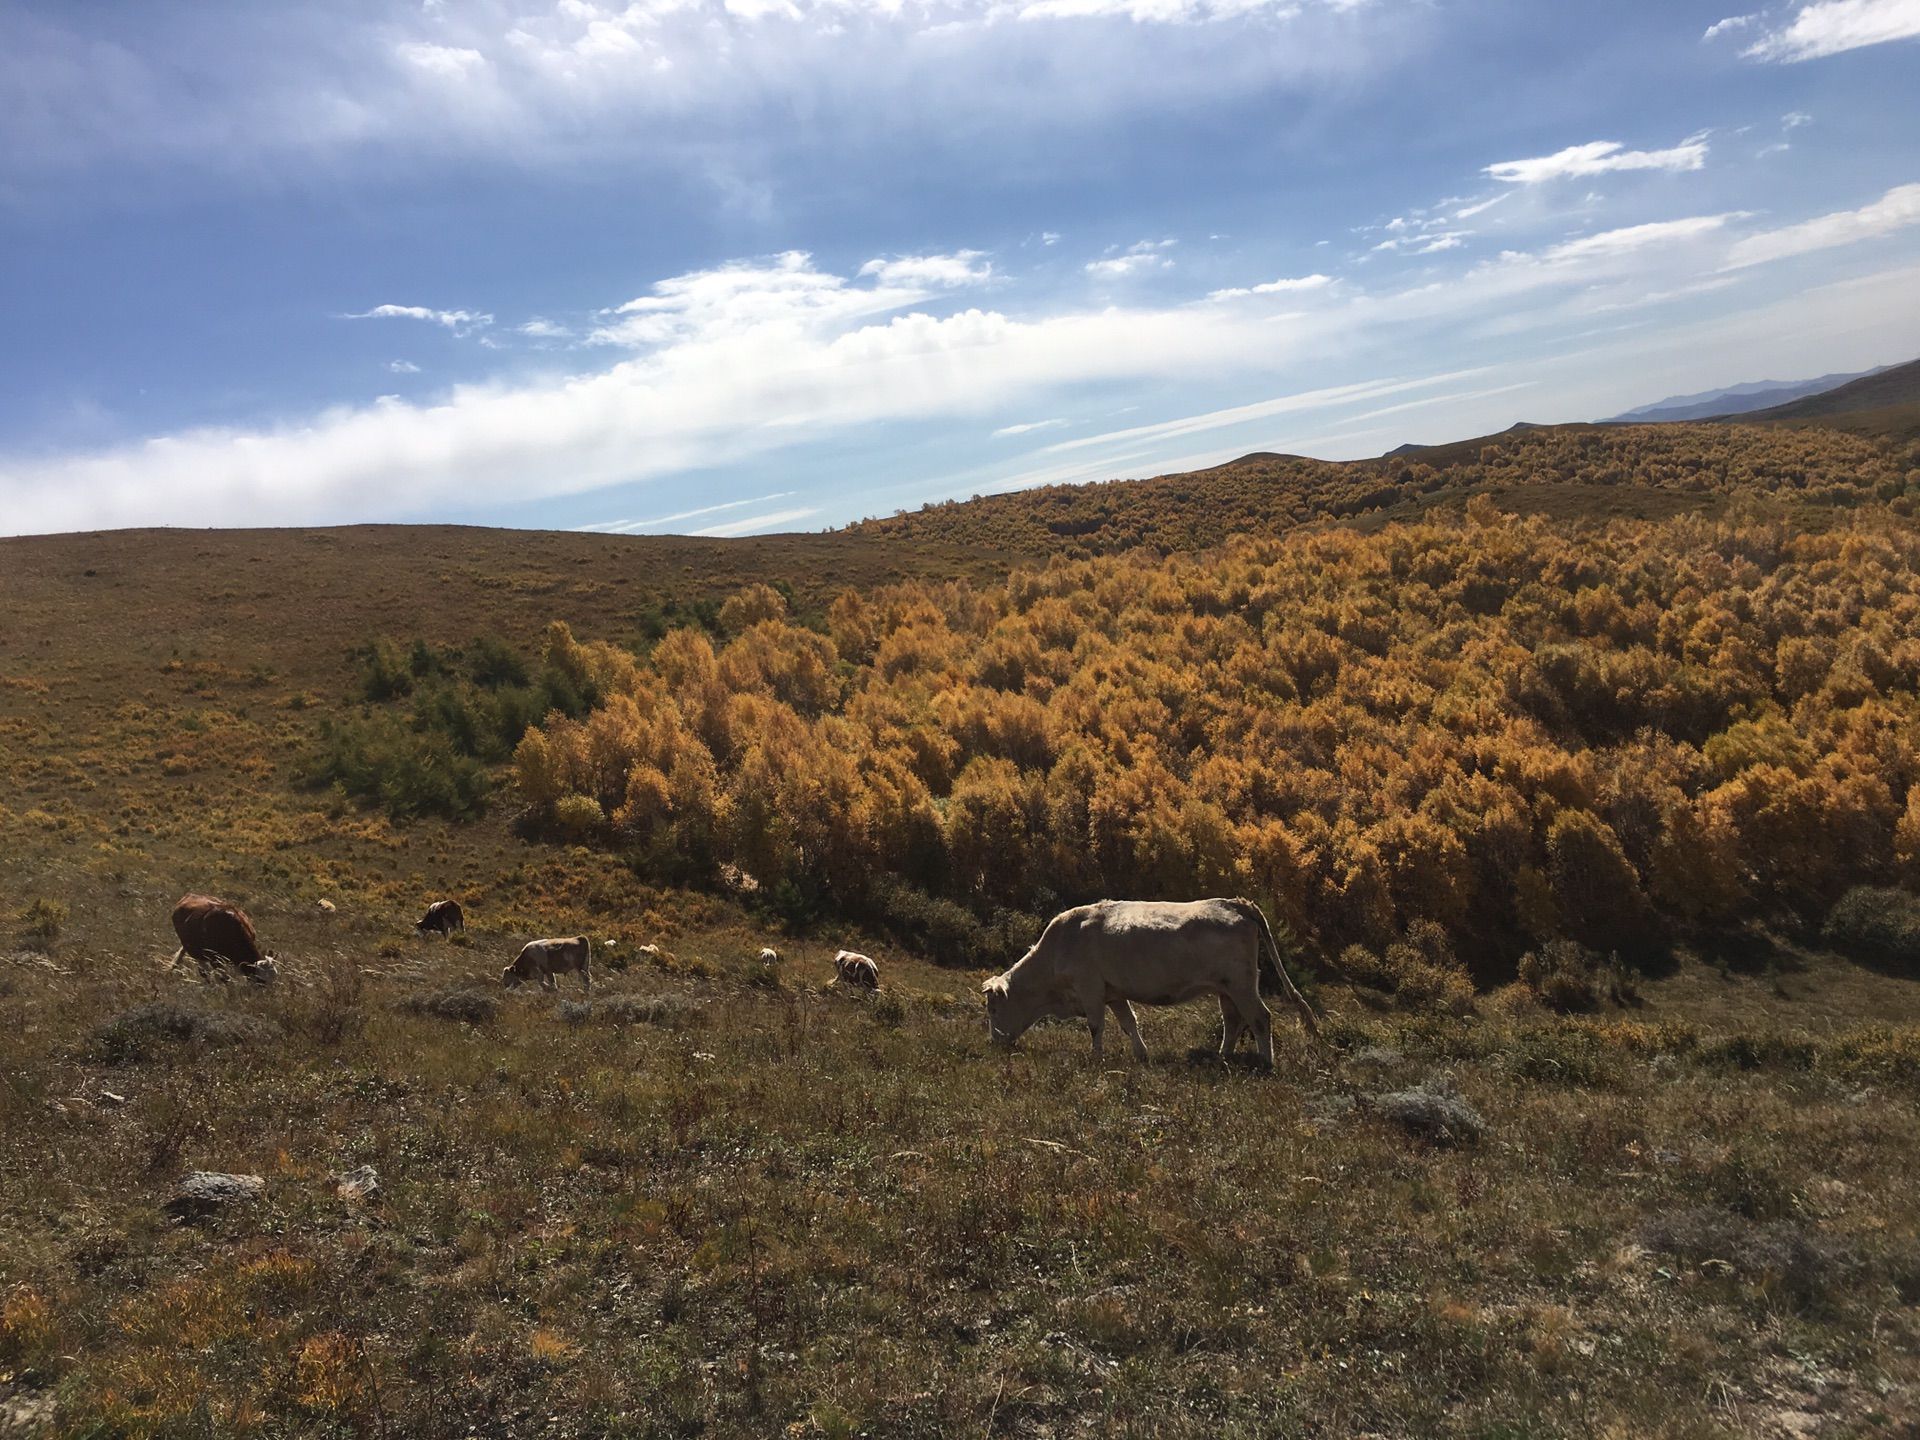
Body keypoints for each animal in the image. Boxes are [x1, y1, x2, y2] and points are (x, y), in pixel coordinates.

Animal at [975, 902, 1320, 1075]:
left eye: (993, 1008)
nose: (994, 1042)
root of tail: (1236, 903)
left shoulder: (1090, 989)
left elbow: (1095, 1026)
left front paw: (1096, 1058)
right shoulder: (1113, 993)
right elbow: (1129, 1023)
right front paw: (1141, 1055)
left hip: (1242, 984)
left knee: (1260, 1018)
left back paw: (1266, 1062)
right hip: (1226, 988)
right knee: (1233, 1021)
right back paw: (1222, 1058)